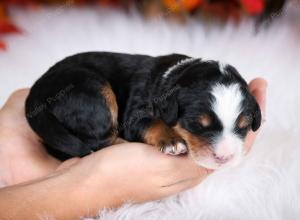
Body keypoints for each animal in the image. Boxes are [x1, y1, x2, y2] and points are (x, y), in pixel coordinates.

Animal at [25, 52, 260, 169]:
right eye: (197, 125)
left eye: (243, 127)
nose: (225, 158)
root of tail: (36, 90)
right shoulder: (135, 114)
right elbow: (152, 123)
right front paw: (172, 141)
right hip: (93, 89)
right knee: (96, 142)